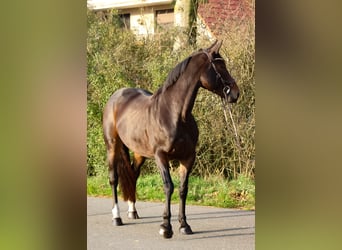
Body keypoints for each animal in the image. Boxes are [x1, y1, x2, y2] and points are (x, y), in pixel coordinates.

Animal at [103, 40, 239, 238]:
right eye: (220, 66)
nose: (235, 93)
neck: (175, 114)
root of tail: (116, 96)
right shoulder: (161, 156)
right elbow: (169, 186)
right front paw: (165, 227)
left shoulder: (188, 157)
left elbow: (183, 189)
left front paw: (184, 225)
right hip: (112, 146)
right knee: (114, 178)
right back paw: (116, 217)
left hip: (139, 153)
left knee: (133, 175)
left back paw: (132, 211)